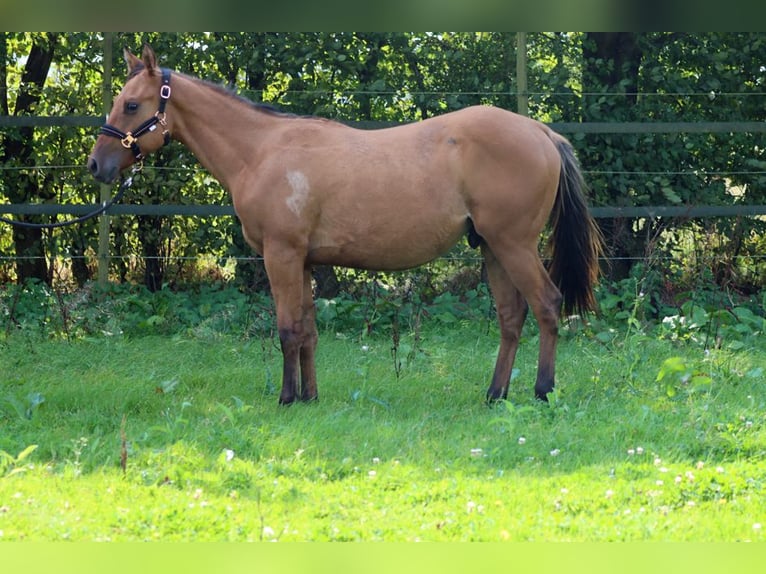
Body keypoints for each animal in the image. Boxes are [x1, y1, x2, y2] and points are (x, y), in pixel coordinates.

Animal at [88, 45, 608, 408]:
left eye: (131, 105)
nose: (96, 165)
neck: (263, 150)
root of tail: (541, 131)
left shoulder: (281, 255)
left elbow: (286, 330)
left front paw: (286, 399)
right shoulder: (302, 261)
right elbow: (307, 331)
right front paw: (310, 397)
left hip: (514, 246)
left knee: (547, 306)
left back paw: (542, 391)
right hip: (492, 249)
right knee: (511, 318)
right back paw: (495, 395)